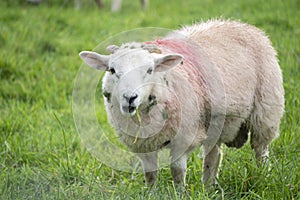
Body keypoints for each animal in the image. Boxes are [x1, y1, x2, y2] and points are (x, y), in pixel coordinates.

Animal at [78, 19, 284, 188]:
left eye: (150, 70)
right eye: (112, 70)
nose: (130, 97)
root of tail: (242, 25)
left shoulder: (183, 137)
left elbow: (177, 171)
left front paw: (179, 193)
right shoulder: (143, 145)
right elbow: (150, 174)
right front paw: (151, 193)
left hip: (266, 110)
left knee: (260, 149)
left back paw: (263, 176)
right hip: (216, 122)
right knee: (213, 155)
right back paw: (209, 186)